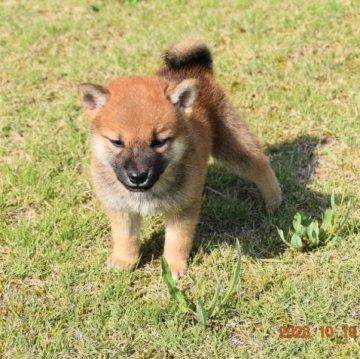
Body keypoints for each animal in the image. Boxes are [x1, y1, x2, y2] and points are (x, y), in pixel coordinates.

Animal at [79, 40, 282, 282]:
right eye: (117, 142)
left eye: (159, 142)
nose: (138, 176)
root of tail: (194, 68)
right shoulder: (121, 208)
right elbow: (125, 238)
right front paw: (124, 262)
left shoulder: (182, 208)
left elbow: (177, 241)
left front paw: (173, 267)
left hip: (230, 143)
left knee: (259, 163)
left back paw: (273, 200)